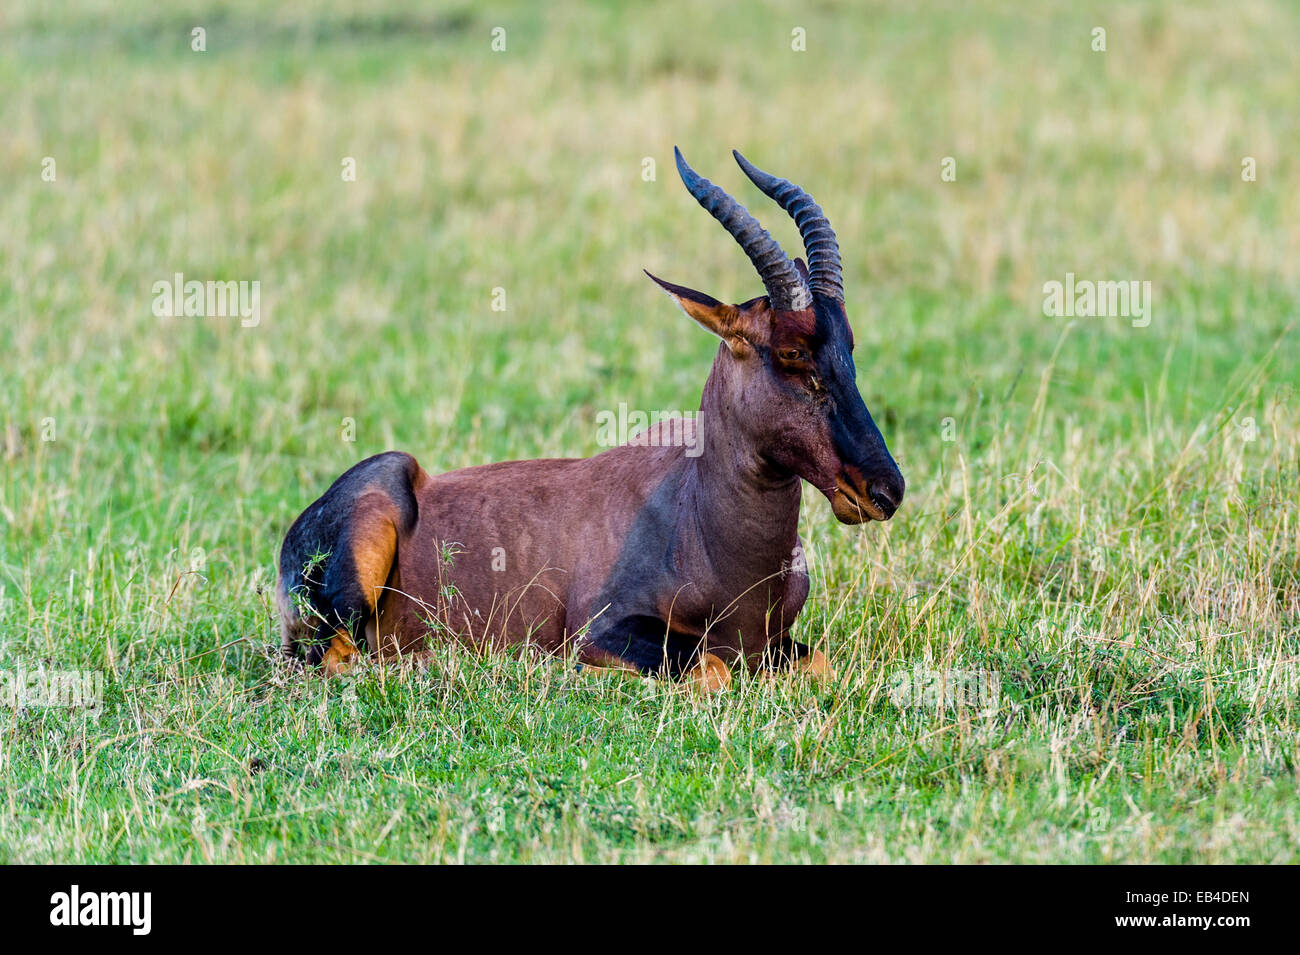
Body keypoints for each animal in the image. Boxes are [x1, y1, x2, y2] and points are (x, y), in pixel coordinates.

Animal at [274, 147, 904, 686]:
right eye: (792, 352)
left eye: (849, 344)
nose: (884, 490)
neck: (698, 508)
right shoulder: (605, 629)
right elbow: (709, 669)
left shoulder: (775, 645)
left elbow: (817, 662)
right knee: (333, 660)